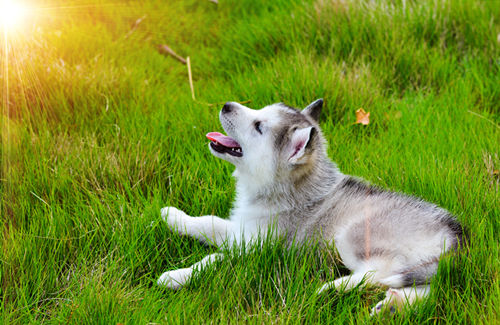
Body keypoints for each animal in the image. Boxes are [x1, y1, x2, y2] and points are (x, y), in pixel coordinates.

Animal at [158, 98, 466, 314]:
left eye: (259, 127)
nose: (225, 105)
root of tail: (455, 234)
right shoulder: (243, 229)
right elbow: (209, 222)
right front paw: (172, 216)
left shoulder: (257, 249)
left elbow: (214, 258)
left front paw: (177, 276)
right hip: (425, 268)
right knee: (425, 288)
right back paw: (392, 307)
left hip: (352, 236)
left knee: (377, 272)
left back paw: (332, 288)